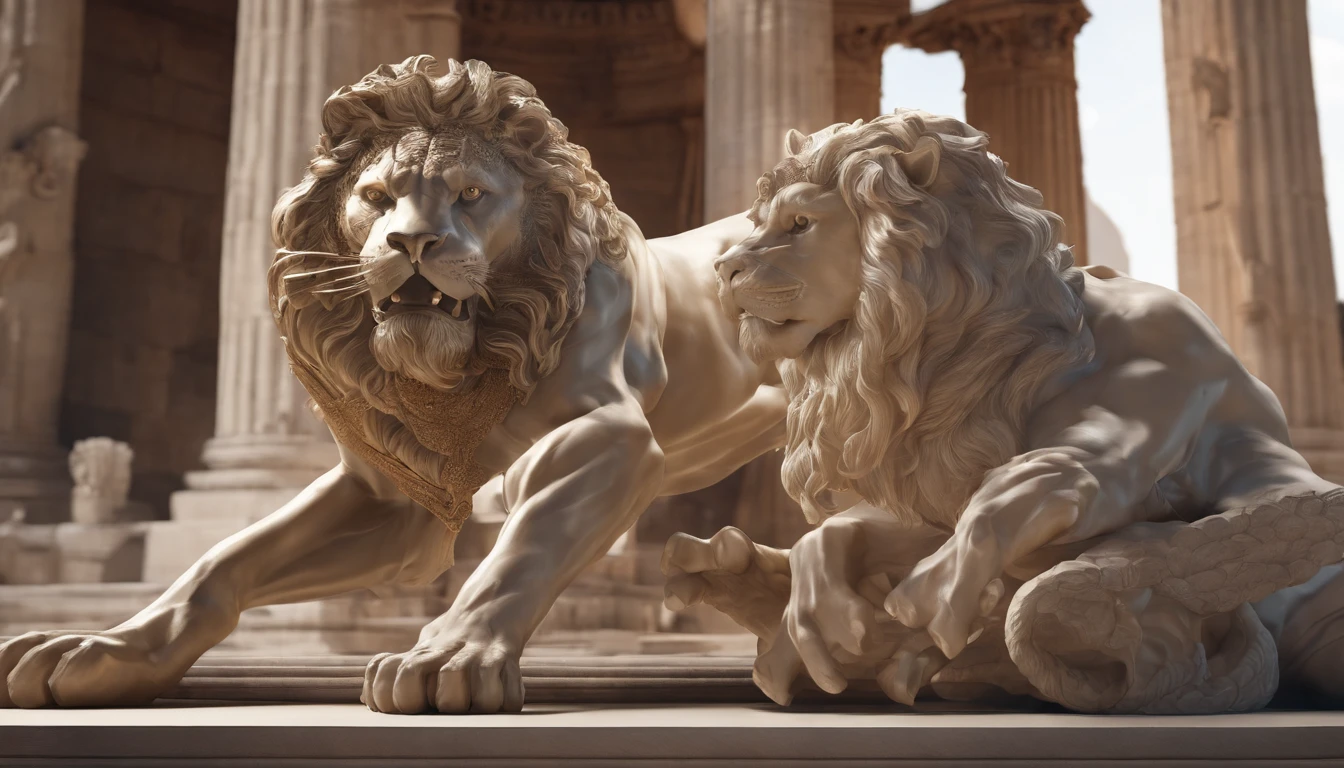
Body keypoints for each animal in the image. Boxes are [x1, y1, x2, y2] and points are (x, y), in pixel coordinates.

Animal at [0, 58, 784, 715]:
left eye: (471, 195)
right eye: (376, 197)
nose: (411, 243)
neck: (463, 368)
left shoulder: (609, 436)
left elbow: (517, 551)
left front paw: (449, 654)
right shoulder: (396, 498)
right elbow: (224, 560)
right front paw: (105, 648)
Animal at [666, 109, 1344, 715]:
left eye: (801, 222)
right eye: (761, 221)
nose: (725, 267)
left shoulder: (1162, 362)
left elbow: (1030, 490)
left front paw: (934, 598)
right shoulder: (939, 478)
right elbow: (853, 531)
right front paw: (815, 611)